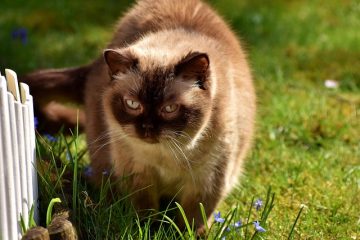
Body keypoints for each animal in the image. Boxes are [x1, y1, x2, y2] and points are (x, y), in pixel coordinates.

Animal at [23, 0, 256, 233]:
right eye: (133, 104)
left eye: (169, 108)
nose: (147, 128)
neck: (167, 155)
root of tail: (95, 64)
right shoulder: (138, 176)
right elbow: (145, 213)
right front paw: (149, 231)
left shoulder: (207, 181)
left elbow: (192, 220)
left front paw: (185, 234)